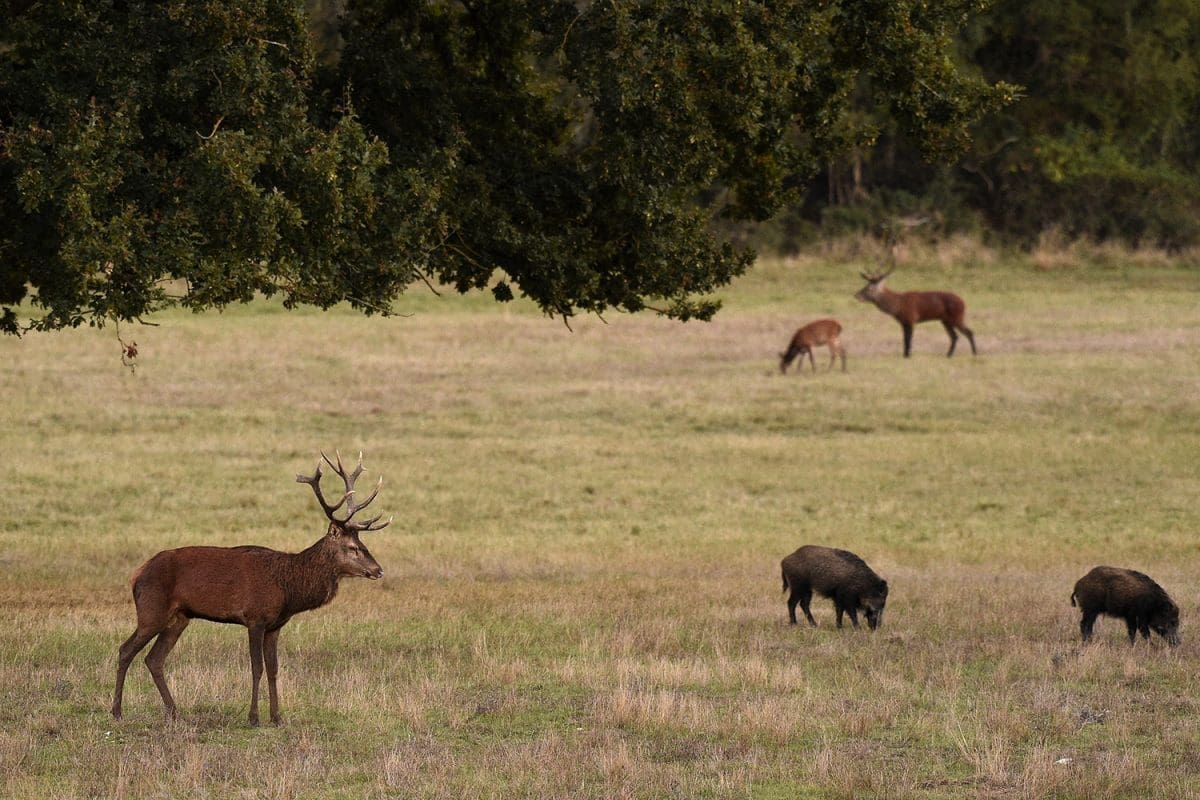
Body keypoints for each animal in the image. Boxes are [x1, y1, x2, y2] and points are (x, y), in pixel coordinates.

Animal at [111, 451, 392, 727]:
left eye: (363, 544)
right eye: (353, 548)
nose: (378, 570)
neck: (289, 590)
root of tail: (136, 575)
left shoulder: (275, 626)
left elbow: (274, 669)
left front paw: (277, 717)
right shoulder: (255, 618)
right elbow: (256, 667)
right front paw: (254, 717)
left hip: (179, 618)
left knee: (154, 659)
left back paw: (174, 712)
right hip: (152, 610)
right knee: (126, 650)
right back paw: (117, 711)